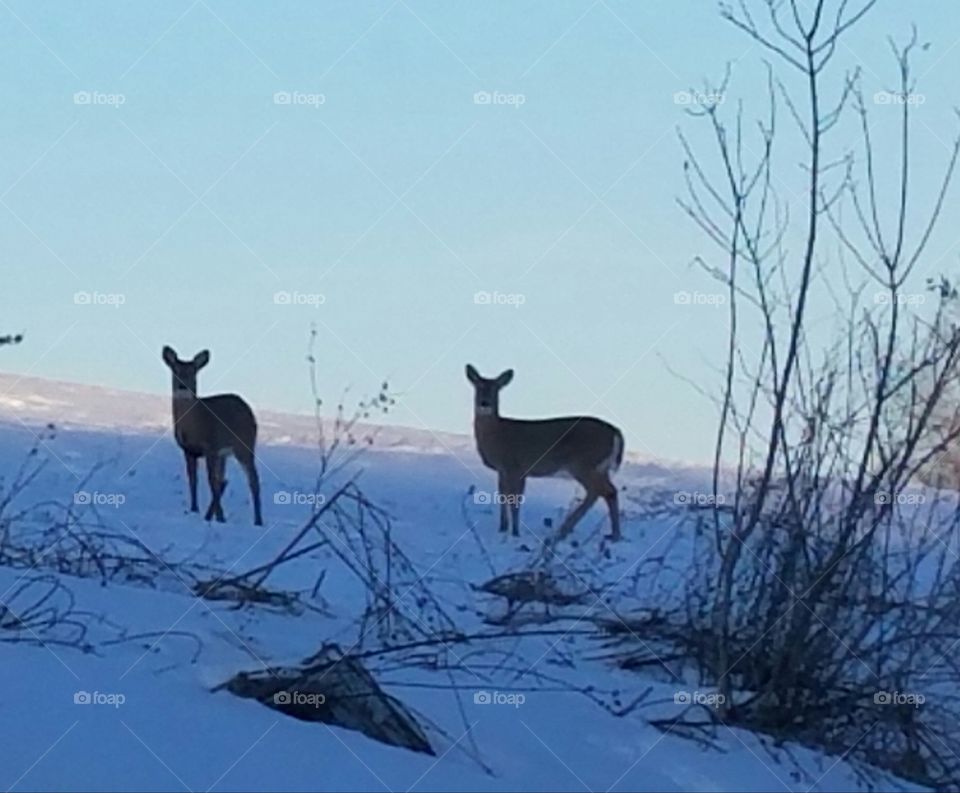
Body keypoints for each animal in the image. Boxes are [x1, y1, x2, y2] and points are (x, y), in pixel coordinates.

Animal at [162, 346, 263, 526]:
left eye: (193, 372)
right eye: (175, 370)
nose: (182, 386)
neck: (194, 425)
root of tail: (248, 409)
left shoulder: (210, 447)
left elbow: (210, 482)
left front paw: (215, 515)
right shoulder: (188, 450)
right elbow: (193, 480)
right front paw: (195, 509)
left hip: (244, 445)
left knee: (253, 480)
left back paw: (258, 521)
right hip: (225, 454)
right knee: (224, 479)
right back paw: (215, 514)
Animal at [465, 364, 623, 541]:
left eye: (496, 389)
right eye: (478, 387)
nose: (484, 403)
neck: (497, 434)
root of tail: (615, 432)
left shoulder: (516, 467)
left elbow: (514, 499)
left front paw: (515, 532)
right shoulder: (503, 470)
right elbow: (502, 496)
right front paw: (502, 528)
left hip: (584, 463)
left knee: (602, 491)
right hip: (599, 467)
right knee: (606, 491)